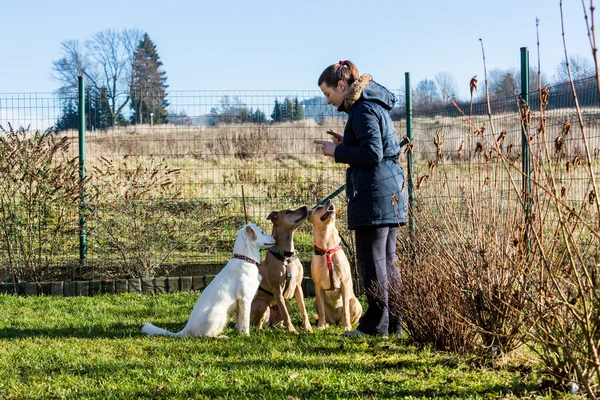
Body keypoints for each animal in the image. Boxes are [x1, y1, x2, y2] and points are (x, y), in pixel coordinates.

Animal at [141, 223, 274, 340]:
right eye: (262, 232)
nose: (275, 237)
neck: (245, 259)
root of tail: (187, 329)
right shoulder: (245, 300)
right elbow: (245, 322)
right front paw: (247, 336)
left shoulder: (239, 304)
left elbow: (239, 323)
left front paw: (239, 334)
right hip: (219, 313)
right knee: (205, 335)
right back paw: (222, 337)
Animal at [250, 206, 314, 334]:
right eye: (288, 211)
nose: (305, 207)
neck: (286, 256)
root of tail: (269, 323)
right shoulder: (277, 289)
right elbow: (285, 313)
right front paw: (292, 330)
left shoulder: (298, 286)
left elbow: (303, 310)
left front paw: (307, 327)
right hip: (262, 304)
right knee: (258, 324)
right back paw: (261, 329)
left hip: (288, 303)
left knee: (277, 323)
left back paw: (281, 327)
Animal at [310, 200, 360, 332]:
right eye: (318, 208)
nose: (329, 200)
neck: (327, 247)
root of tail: (336, 321)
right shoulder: (318, 286)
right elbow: (321, 310)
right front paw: (321, 326)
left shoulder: (344, 282)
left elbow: (346, 310)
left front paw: (347, 326)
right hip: (315, 300)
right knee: (324, 314)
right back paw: (327, 323)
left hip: (355, 302)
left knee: (351, 315)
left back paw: (346, 323)